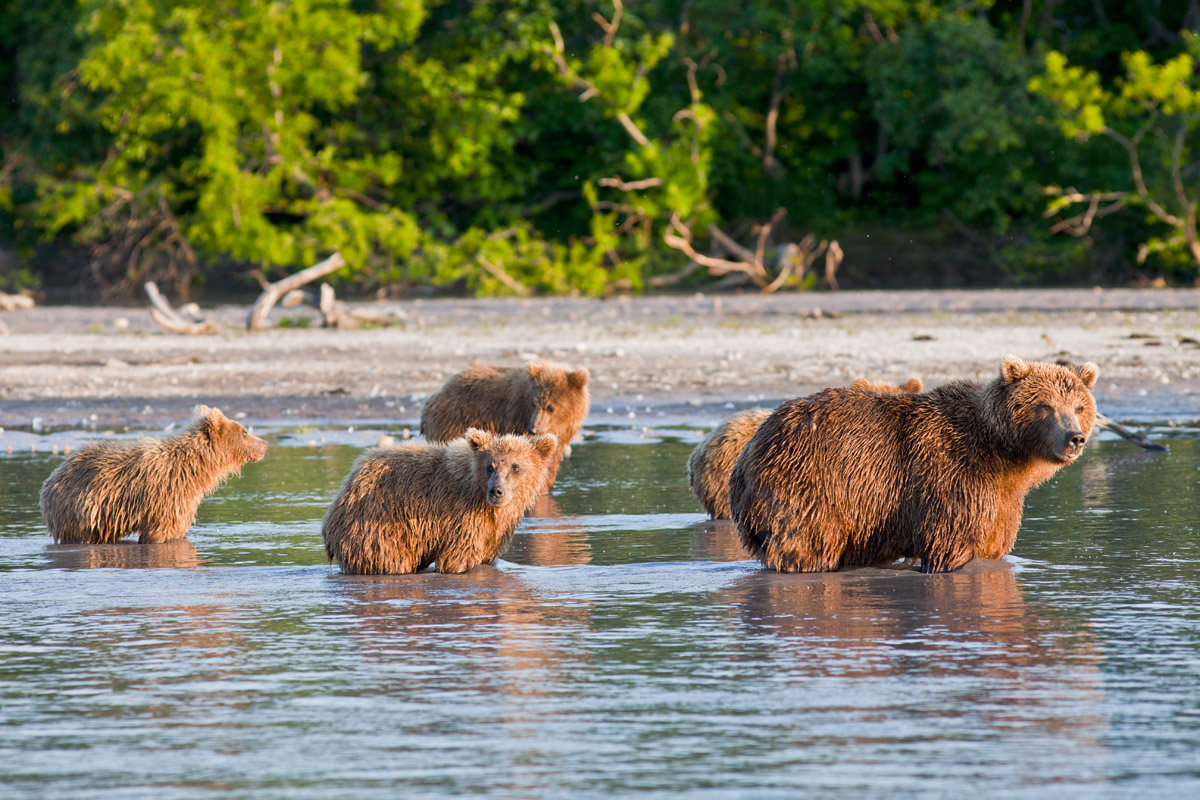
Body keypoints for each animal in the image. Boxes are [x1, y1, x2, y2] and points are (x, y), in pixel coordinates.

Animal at [40, 405, 269, 544]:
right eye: (245, 432)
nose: (266, 444)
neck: (195, 470)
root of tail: (51, 479)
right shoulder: (167, 494)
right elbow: (161, 532)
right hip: (82, 510)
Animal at [322, 429, 558, 575]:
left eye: (515, 466)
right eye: (490, 466)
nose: (496, 491)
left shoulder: (494, 530)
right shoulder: (461, 517)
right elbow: (458, 559)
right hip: (377, 526)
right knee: (391, 559)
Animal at [419, 361, 588, 490]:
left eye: (551, 407)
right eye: (535, 403)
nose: (533, 429)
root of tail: (433, 398)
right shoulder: (518, 420)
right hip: (455, 421)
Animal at [729, 357, 1098, 573]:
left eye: (1079, 406)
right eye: (1045, 405)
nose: (1074, 438)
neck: (1002, 454)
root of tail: (749, 452)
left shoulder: (1001, 500)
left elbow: (993, 544)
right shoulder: (952, 478)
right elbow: (951, 546)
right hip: (812, 484)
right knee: (809, 545)